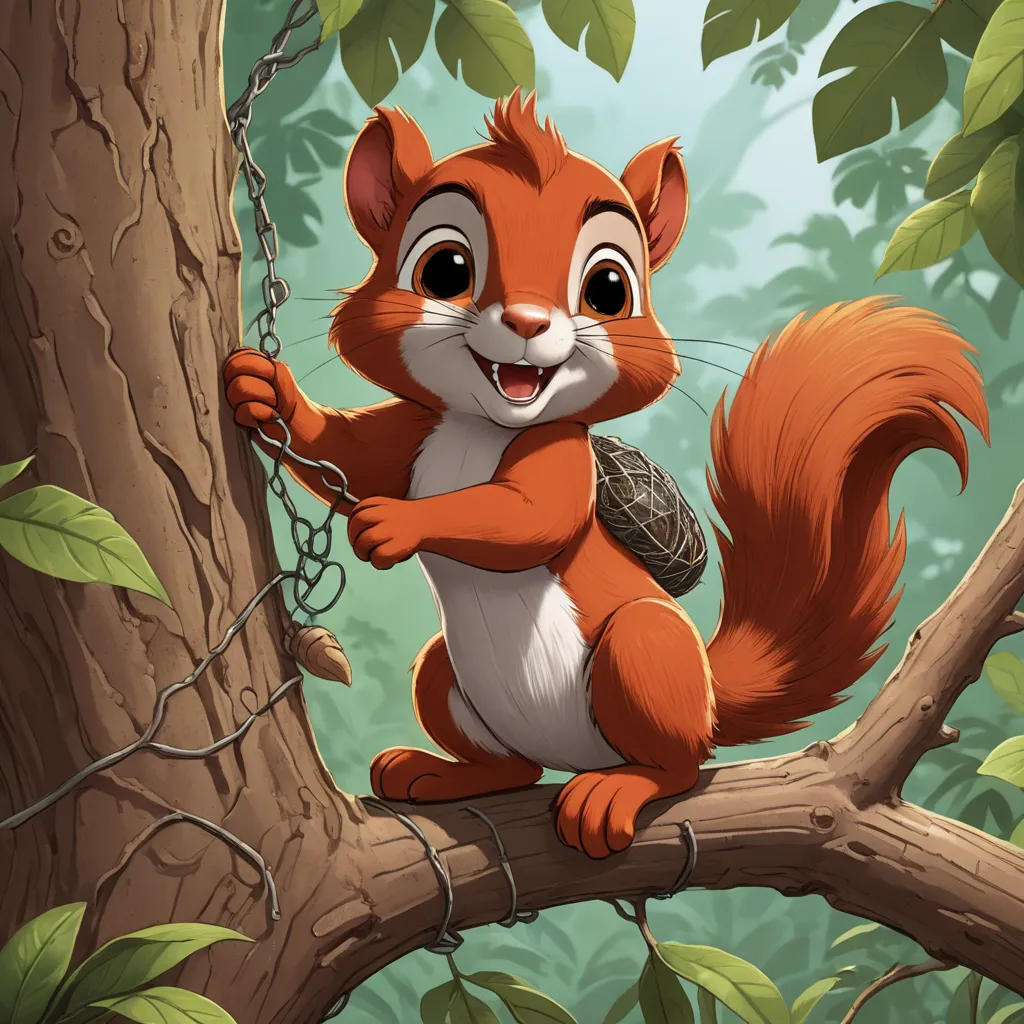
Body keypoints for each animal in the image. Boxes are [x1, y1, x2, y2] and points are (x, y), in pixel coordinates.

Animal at [224, 89, 989, 860]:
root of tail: (708, 701)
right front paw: (265, 392)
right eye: (443, 270)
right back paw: (438, 773)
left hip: (645, 653)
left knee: (679, 764)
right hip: (445, 674)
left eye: (609, 288)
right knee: (512, 763)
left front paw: (398, 521)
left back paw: (616, 792)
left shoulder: (558, 456)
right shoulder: (415, 432)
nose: (528, 322)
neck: (481, 426)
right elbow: (350, 454)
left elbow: (530, 518)